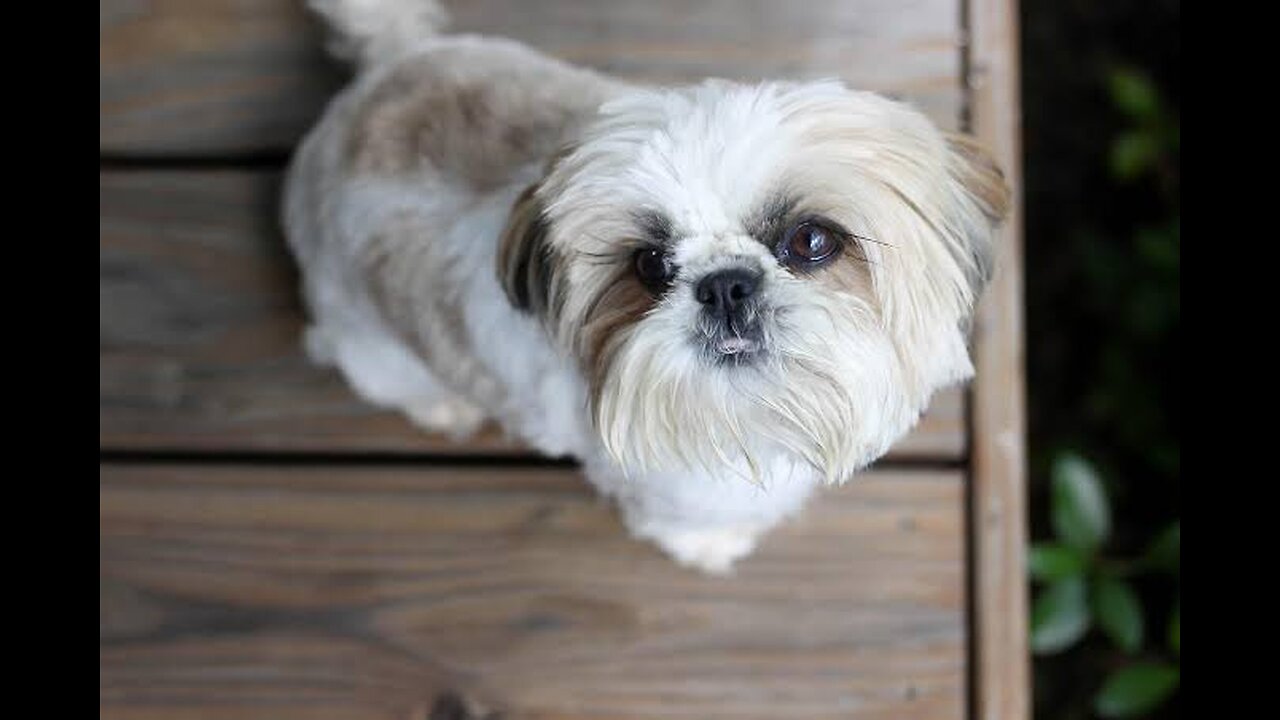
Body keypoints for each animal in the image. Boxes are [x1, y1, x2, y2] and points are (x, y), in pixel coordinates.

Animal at [285, 0, 1013, 571]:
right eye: (651, 266)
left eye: (811, 241)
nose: (725, 286)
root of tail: (383, 71)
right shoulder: (678, 493)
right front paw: (713, 546)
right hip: (370, 348)